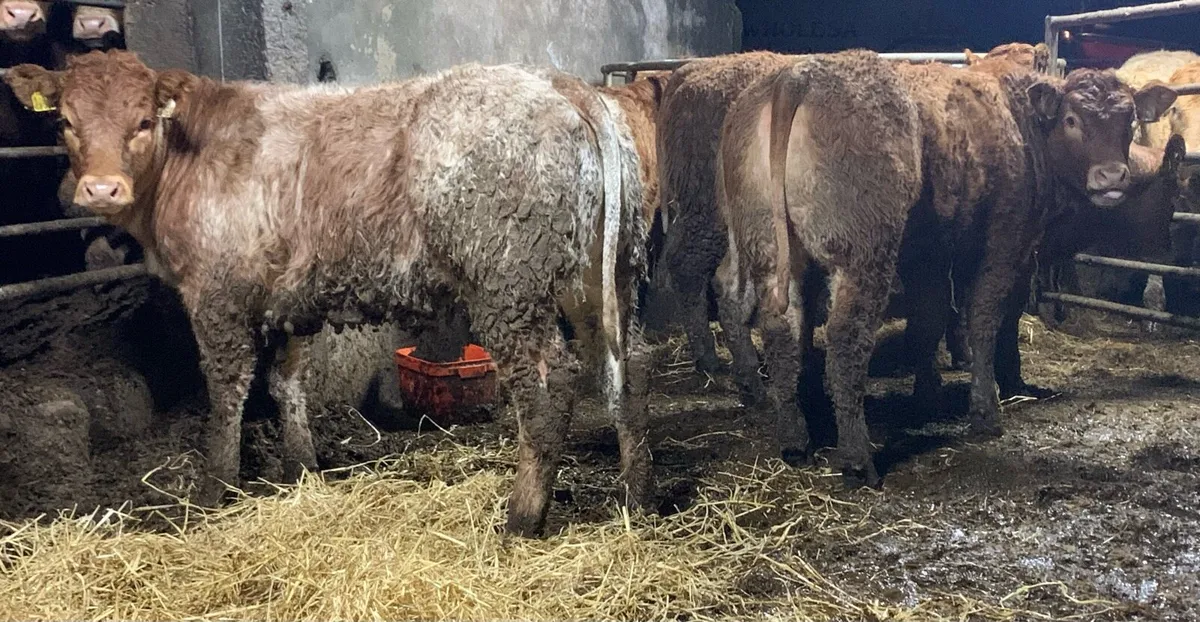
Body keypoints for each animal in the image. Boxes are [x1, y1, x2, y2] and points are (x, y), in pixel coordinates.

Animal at [4, 50, 652, 537]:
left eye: (142, 120)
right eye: (63, 121)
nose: (100, 189)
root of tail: (558, 81)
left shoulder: (216, 294)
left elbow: (226, 391)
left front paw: (215, 489)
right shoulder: (289, 299)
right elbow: (287, 384)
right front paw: (303, 471)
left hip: (507, 281)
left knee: (549, 382)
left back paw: (522, 517)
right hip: (603, 274)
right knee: (621, 366)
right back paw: (635, 493)